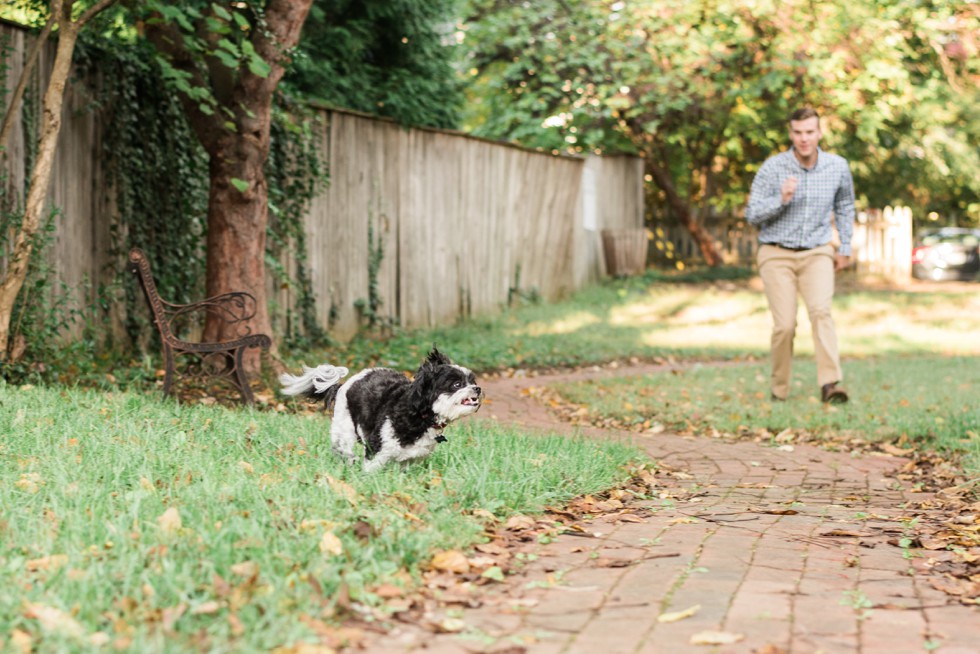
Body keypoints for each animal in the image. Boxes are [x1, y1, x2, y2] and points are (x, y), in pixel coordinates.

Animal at [280, 348, 482, 472]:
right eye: (457, 384)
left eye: (472, 381)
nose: (478, 389)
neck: (418, 415)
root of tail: (343, 385)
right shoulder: (376, 450)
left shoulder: (411, 459)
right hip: (344, 426)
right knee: (342, 447)